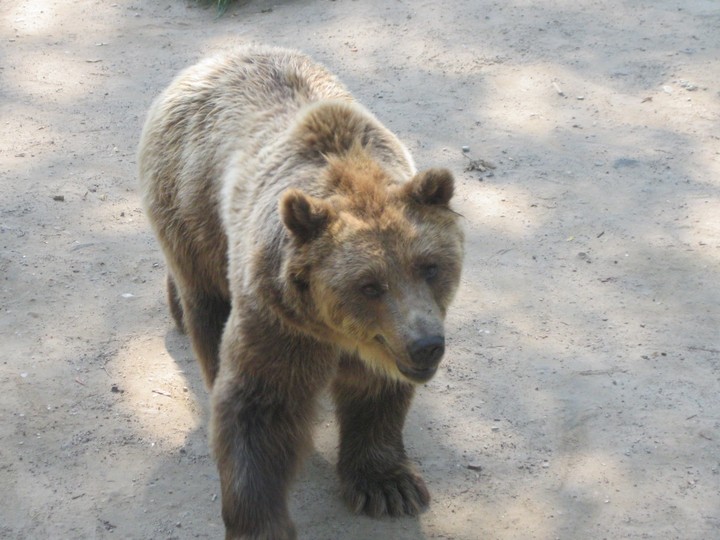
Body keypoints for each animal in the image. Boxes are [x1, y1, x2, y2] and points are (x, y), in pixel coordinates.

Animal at [138, 45, 464, 540]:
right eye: (369, 284)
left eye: (430, 266)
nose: (426, 344)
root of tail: (212, 58)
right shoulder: (280, 322)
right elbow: (259, 403)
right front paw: (261, 523)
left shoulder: (380, 345)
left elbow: (375, 393)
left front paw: (388, 486)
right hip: (191, 205)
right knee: (206, 303)